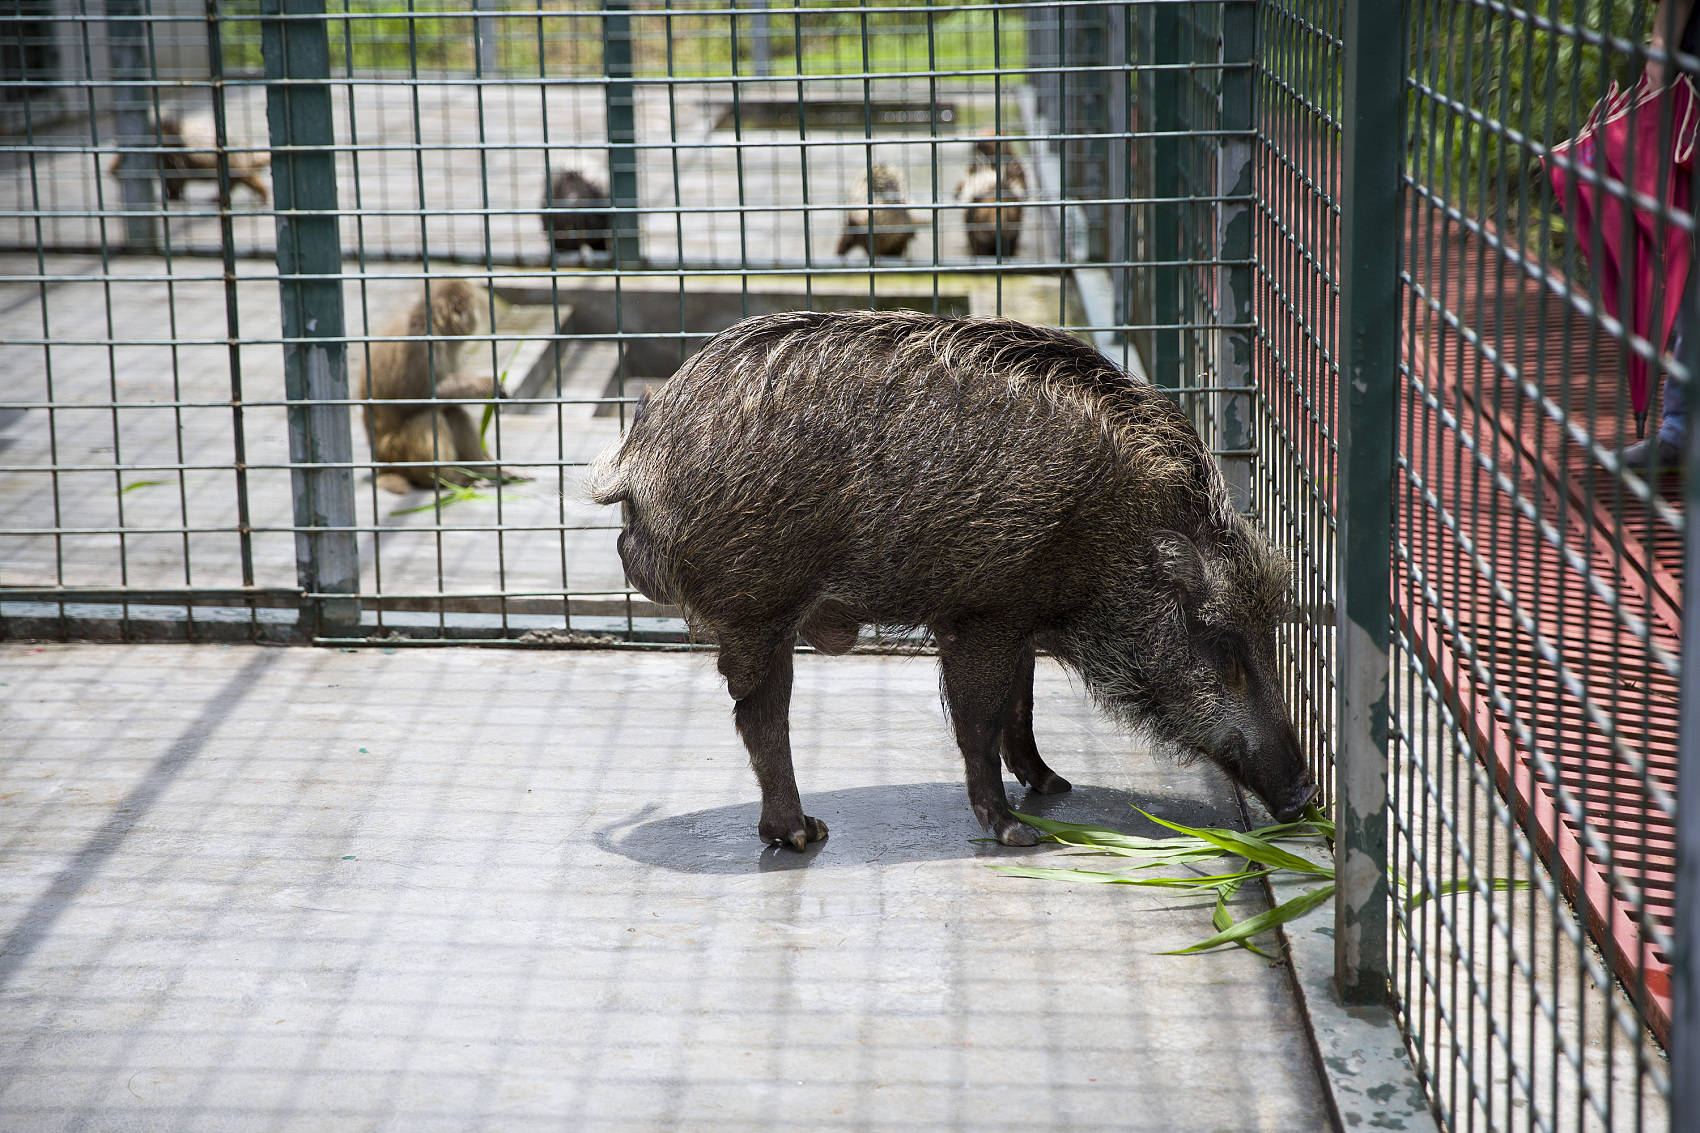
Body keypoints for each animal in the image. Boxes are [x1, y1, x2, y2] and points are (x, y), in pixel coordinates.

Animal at [362, 277, 513, 489]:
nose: (477, 315)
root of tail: (383, 465)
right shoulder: (424, 347)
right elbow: (419, 397)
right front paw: (489, 385)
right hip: (396, 453)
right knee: (428, 416)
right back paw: (448, 479)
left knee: (452, 412)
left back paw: (483, 471)